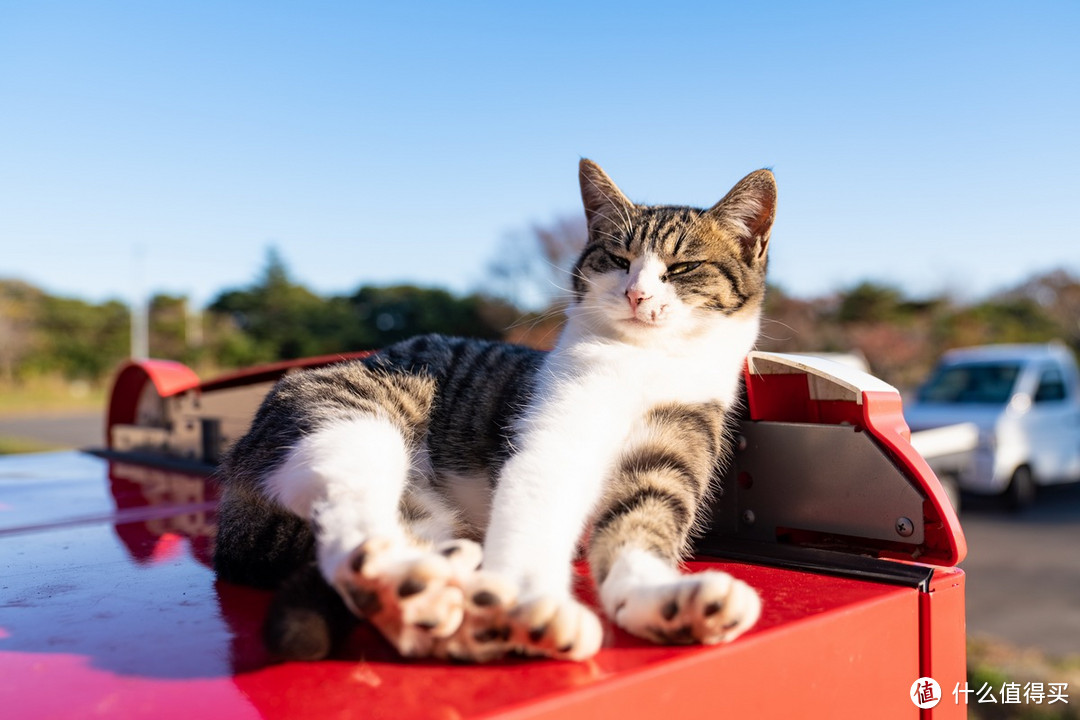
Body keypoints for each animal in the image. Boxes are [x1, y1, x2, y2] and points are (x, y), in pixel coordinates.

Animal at [210, 158, 773, 664]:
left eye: (683, 268)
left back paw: (452, 614)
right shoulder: (552, 447)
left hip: (427, 513)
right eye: (617, 258)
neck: (646, 361)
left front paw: (665, 601)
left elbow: (644, 522)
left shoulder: (675, 441)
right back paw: (421, 590)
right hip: (352, 423)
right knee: (353, 534)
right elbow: (536, 516)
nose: (637, 294)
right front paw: (535, 602)